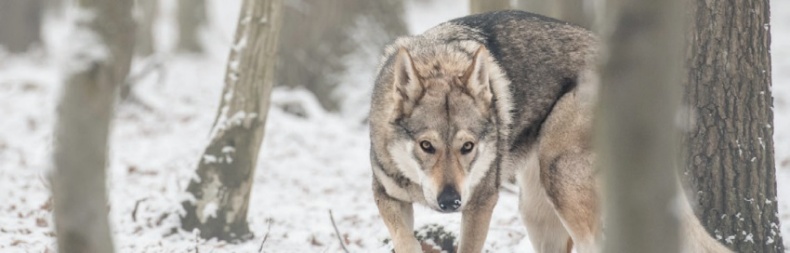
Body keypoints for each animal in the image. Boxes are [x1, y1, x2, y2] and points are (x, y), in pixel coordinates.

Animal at [368, 9, 732, 253]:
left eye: (467, 147)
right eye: (426, 146)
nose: (449, 201)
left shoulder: (480, 204)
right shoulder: (387, 198)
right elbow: (405, 241)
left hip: (559, 177)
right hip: (536, 213)